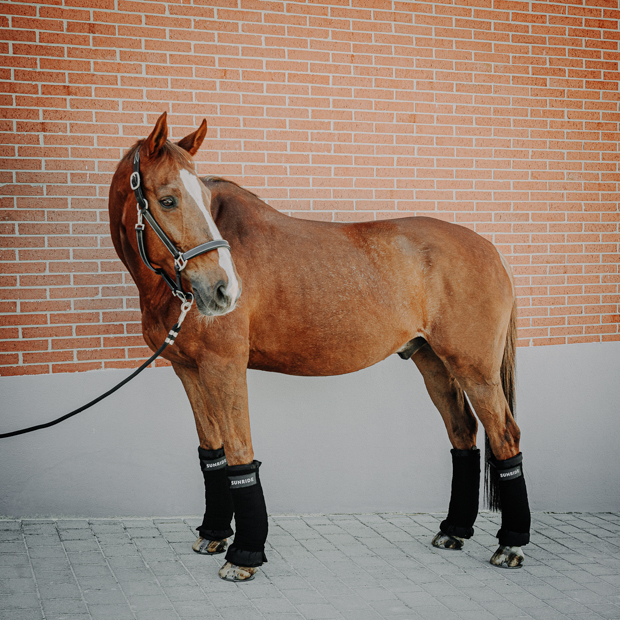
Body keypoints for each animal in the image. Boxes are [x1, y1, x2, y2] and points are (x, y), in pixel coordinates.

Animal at [109, 114, 532, 584]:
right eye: (167, 200)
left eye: (202, 196)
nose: (223, 290)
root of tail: (492, 251)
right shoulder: (188, 370)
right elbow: (212, 452)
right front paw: (215, 535)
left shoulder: (224, 366)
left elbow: (239, 452)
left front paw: (244, 554)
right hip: (433, 361)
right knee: (463, 433)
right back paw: (453, 530)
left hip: (475, 369)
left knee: (505, 436)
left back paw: (510, 544)